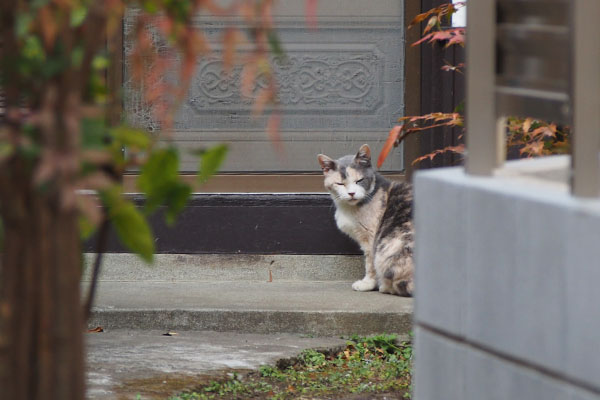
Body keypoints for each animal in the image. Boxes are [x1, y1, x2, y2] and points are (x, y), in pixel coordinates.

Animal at [316, 145, 414, 296]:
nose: (351, 193)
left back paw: (385, 287)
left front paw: (367, 283)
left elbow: (370, 263)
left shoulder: (371, 238)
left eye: (359, 181)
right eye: (340, 183)